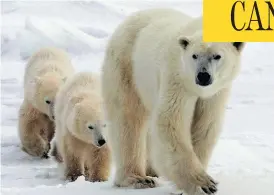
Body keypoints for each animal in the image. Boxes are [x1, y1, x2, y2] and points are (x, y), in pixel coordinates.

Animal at [101, 8, 246, 194]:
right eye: (194, 55)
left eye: (217, 56)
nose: (203, 76)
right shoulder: (177, 78)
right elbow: (170, 121)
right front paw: (203, 183)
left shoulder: (216, 93)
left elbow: (205, 125)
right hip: (127, 66)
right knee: (128, 118)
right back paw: (138, 178)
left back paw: (152, 170)